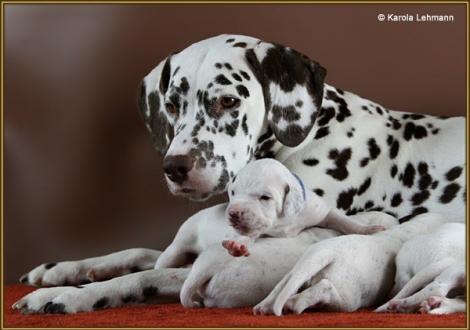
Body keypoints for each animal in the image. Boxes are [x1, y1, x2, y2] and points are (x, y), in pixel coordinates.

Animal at [222, 160, 388, 258]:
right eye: (233, 192)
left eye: (265, 197)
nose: (233, 213)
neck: (282, 222)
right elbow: (246, 234)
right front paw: (238, 245)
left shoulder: (322, 212)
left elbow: (343, 221)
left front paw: (368, 229)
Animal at [253, 213, 456, 316]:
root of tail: (326, 253)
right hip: (347, 296)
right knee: (326, 289)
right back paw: (296, 302)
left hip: (296, 272)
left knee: (282, 287)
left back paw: (265, 306)